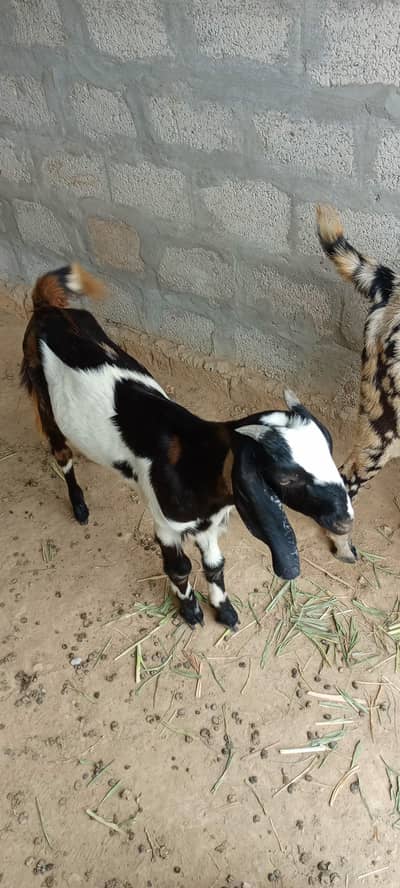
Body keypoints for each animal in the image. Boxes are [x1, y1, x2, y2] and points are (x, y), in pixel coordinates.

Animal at [21, 264, 353, 628]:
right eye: (286, 476)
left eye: (330, 453)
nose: (345, 520)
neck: (192, 460)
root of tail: (47, 309)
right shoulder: (167, 525)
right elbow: (179, 568)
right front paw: (191, 612)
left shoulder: (209, 522)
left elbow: (214, 565)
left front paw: (224, 610)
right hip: (45, 405)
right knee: (62, 455)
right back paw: (79, 507)